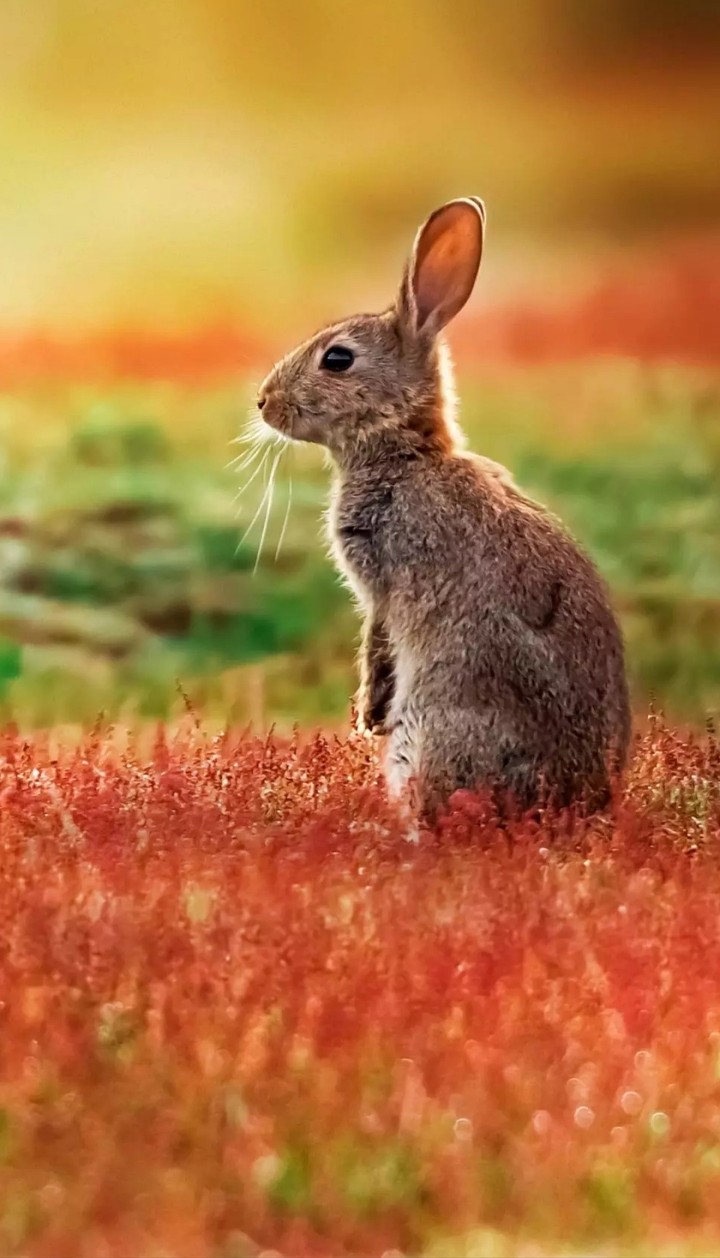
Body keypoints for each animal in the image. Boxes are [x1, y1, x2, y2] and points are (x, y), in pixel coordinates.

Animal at [256, 197, 631, 820]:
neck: (407, 452)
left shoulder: (383, 583)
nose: (264, 402)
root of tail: (572, 801)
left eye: (337, 359)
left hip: (430, 736)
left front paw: (367, 713)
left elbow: (377, 642)